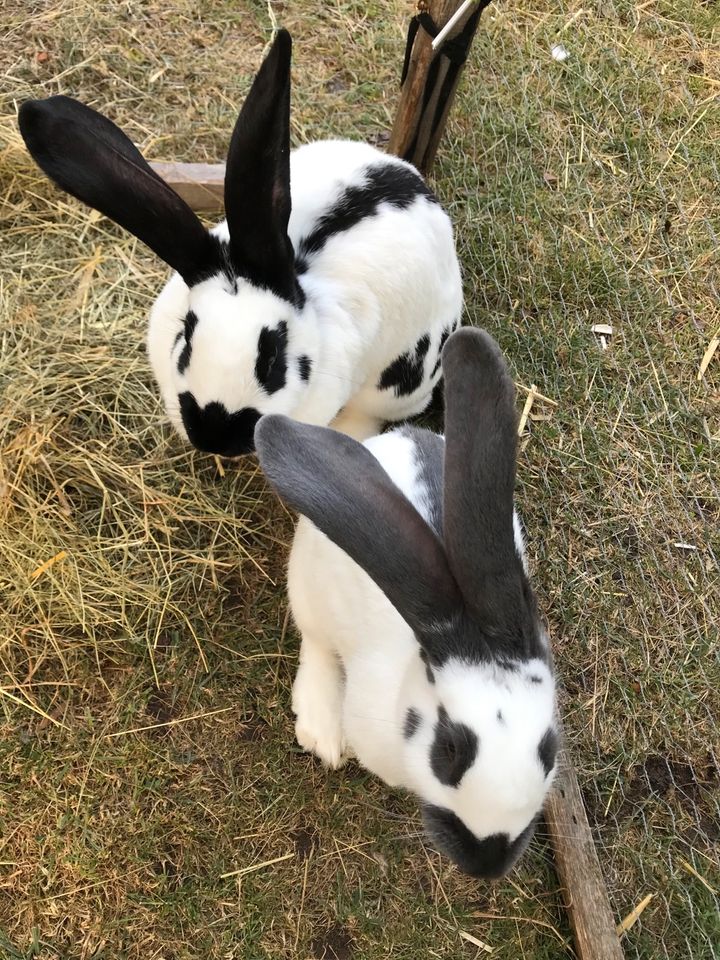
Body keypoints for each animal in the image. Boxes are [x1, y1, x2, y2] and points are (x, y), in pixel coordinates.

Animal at [256, 328, 560, 876]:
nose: (487, 864)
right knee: (315, 641)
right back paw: (321, 728)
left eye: (547, 752)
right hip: (307, 581)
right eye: (450, 750)